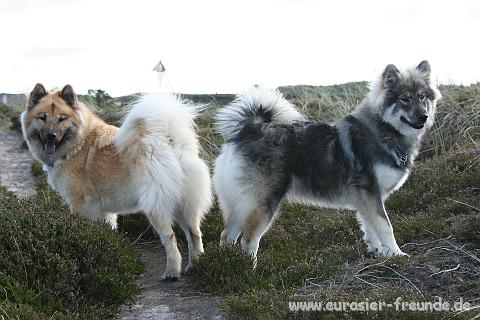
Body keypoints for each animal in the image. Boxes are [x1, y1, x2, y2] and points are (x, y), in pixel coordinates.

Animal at [216, 60, 440, 260]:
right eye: (404, 99)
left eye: (422, 97)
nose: (423, 116)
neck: (384, 130)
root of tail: (250, 129)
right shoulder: (370, 191)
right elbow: (385, 226)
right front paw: (396, 254)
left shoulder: (368, 197)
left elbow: (370, 227)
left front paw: (378, 253)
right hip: (264, 200)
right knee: (249, 240)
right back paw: (250, 270)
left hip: (240, 203)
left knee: (227, 235)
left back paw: (227, 262)